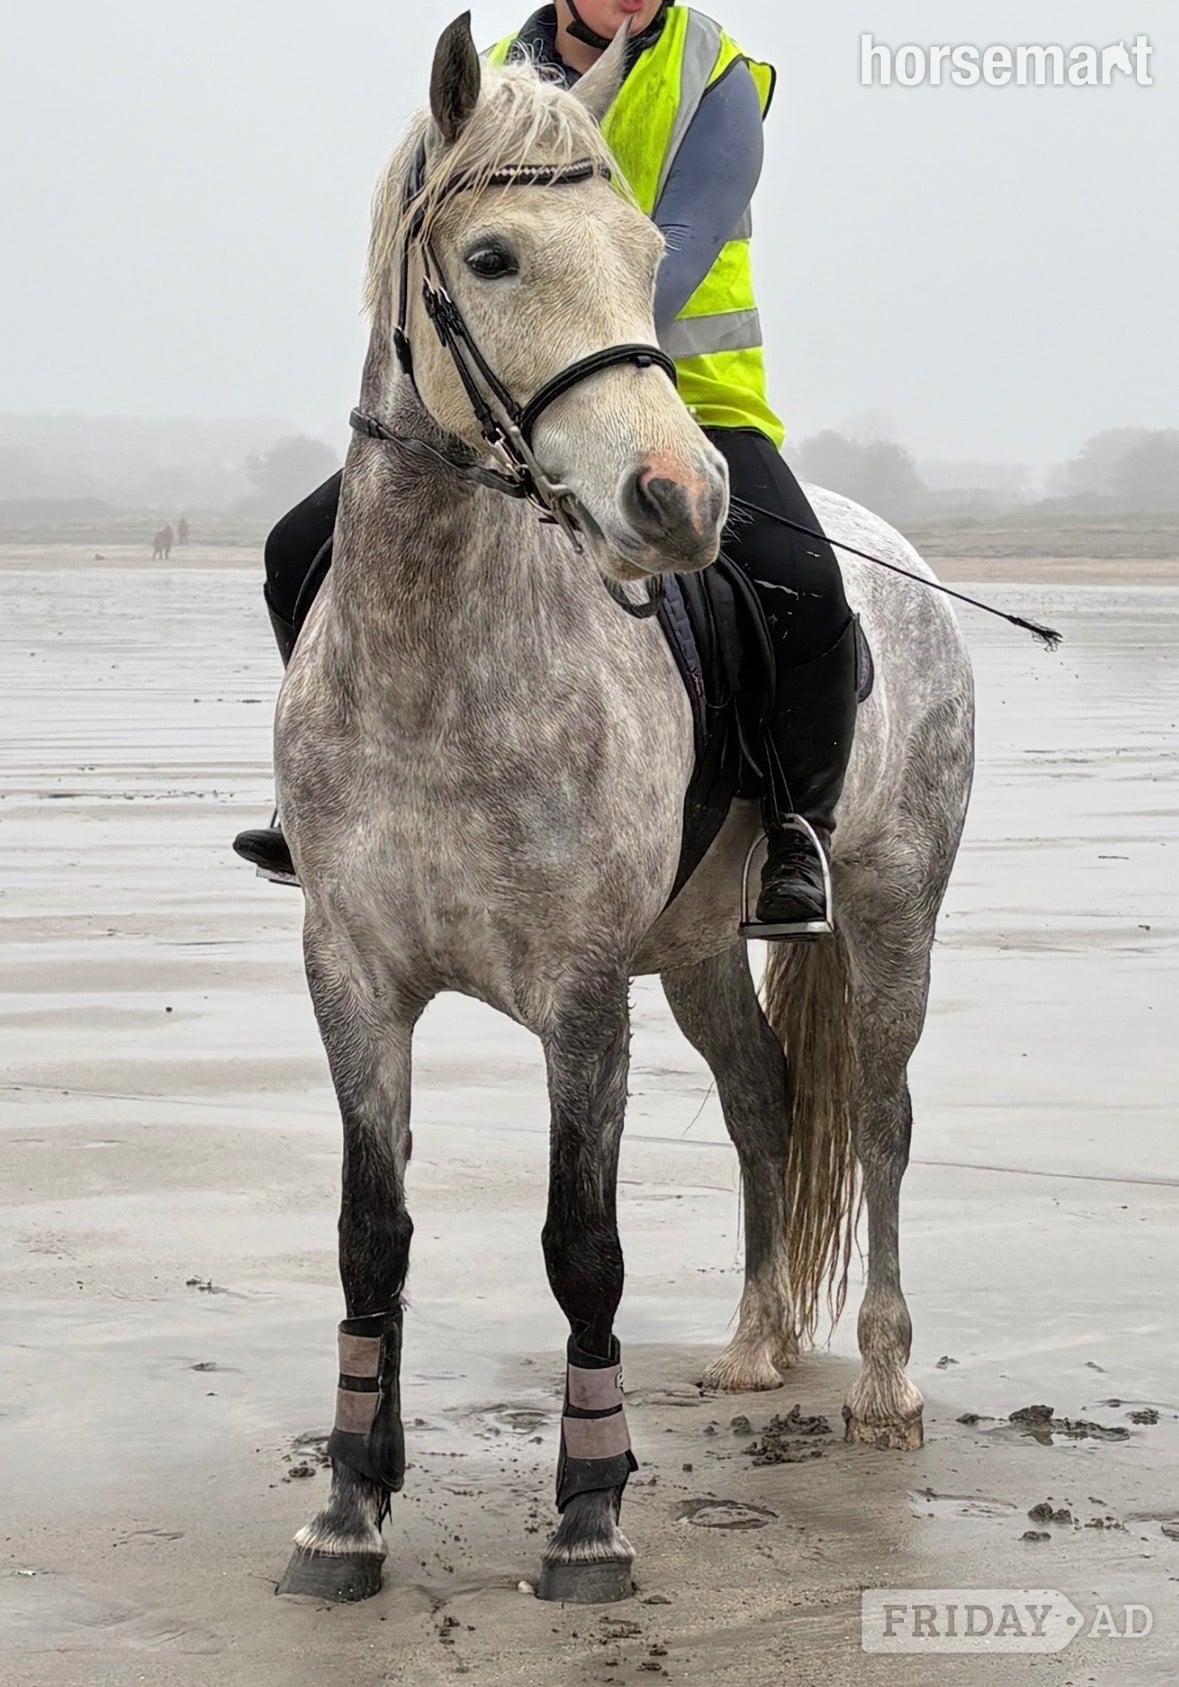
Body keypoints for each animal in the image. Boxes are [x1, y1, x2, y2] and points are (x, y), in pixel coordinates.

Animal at [271, 15, 974, 1606]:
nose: (681, 499)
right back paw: (757, 1341)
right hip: (703, 948)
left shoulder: (581, 993)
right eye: (490, 258)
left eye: (652, 248)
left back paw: (882, 1383)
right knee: (765, 1098)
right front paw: (349, 1504)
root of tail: (894, 552)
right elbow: (368, 1236)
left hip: (890, 911)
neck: (436, 657)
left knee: (883, 1113)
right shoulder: (350, 973)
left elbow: (580, 1244)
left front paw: (588, 1514)